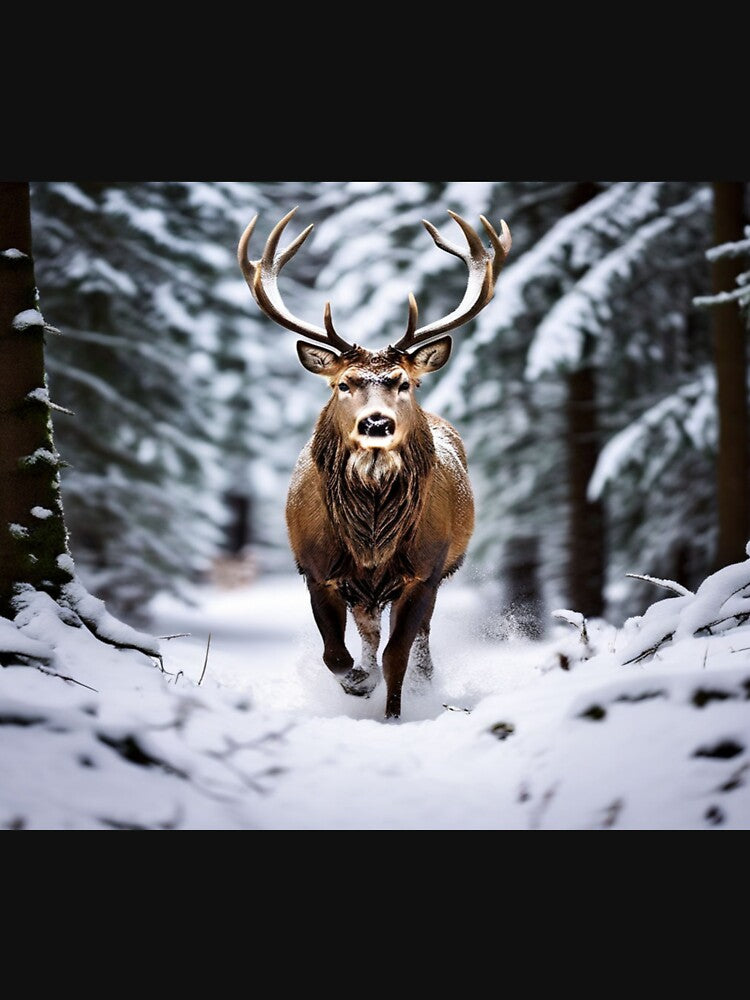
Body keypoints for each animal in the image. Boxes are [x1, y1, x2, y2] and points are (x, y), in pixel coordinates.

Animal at [238, 208, 511, 719]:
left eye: (405, 382)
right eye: (343, 384)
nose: (377, 423)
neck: (370, 541)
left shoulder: (424, 570)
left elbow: (397, 654)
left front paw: (393, 712)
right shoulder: (317, 570)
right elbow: (335, 654)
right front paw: (358, 684)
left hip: (436, 573)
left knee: (416, 638)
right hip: (363, 592)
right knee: (367, 632)